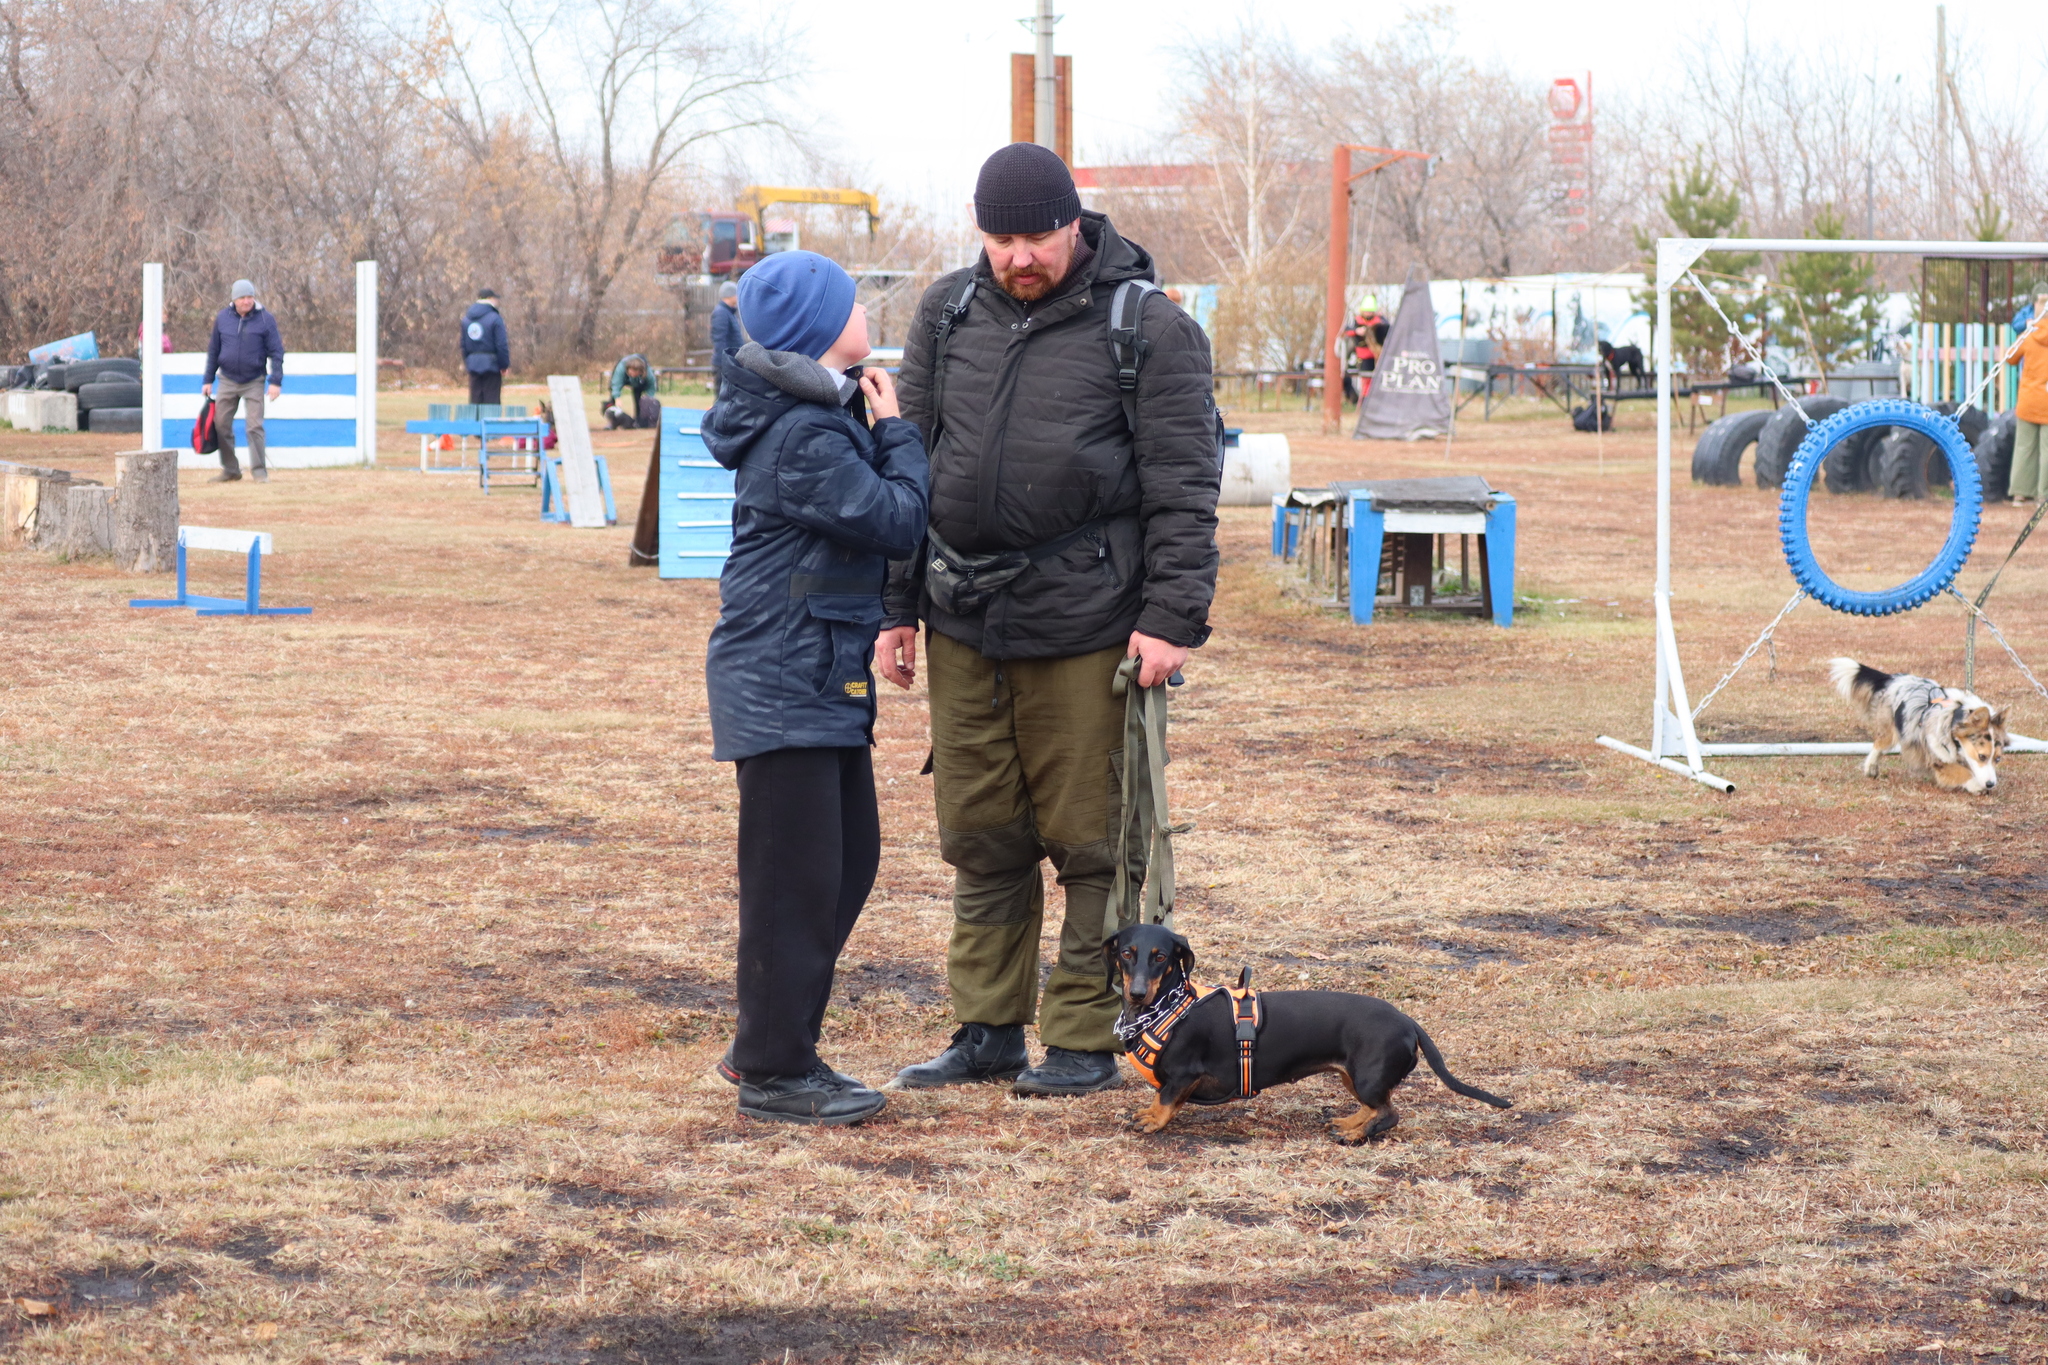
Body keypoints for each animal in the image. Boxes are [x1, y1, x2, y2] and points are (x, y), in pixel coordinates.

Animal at [1114, 929, 1515, 1146]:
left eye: (1161, 957)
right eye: (1126, 953)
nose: (1136, 992)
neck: (1168, 1004)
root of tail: (1408, 1021)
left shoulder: (1183, 1074)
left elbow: (1165, 1099)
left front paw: (1152, 1120)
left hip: (1366, 1077)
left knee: (1389, 1113)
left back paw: (1355, 1135)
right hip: (1351, 1075)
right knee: (1375, 1108)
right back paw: (1351, 1123)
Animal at [1835, 658, 2007, 794]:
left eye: (1998, 758)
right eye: (1982, 756)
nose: (1991, 784)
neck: (1954, 718)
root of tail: (1896, 678)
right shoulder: (1937, 756)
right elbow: (1960, 772)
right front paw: (1976, 785)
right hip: (1890, 729)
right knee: (1879, 744)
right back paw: (1870, 768)